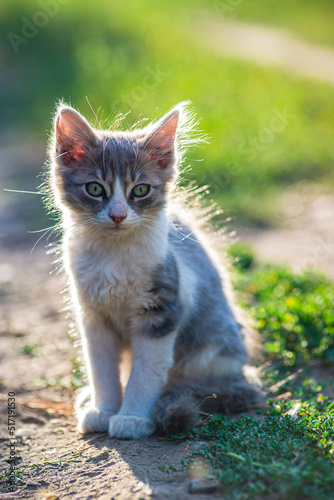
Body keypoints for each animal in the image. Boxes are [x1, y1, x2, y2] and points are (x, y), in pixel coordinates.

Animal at [49, 100, 264, 438]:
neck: (113, 257)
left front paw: (132, 418)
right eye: (95, 188)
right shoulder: (93, 317)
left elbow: (145, 373)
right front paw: (103, 410)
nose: (118, 215)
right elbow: (102, 371)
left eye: (140, 190)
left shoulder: (161, 311)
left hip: (210, 350)